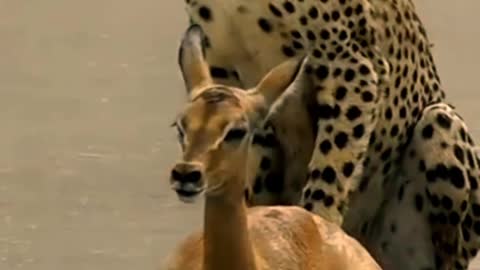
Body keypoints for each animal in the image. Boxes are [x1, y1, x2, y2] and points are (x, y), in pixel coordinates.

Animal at [170, 0, 480, 270]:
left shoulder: (352, 67)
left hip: (440, 122)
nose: (186, 174)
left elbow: (328, 181)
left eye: (235, 132)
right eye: (180, 127)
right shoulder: (225, 69)